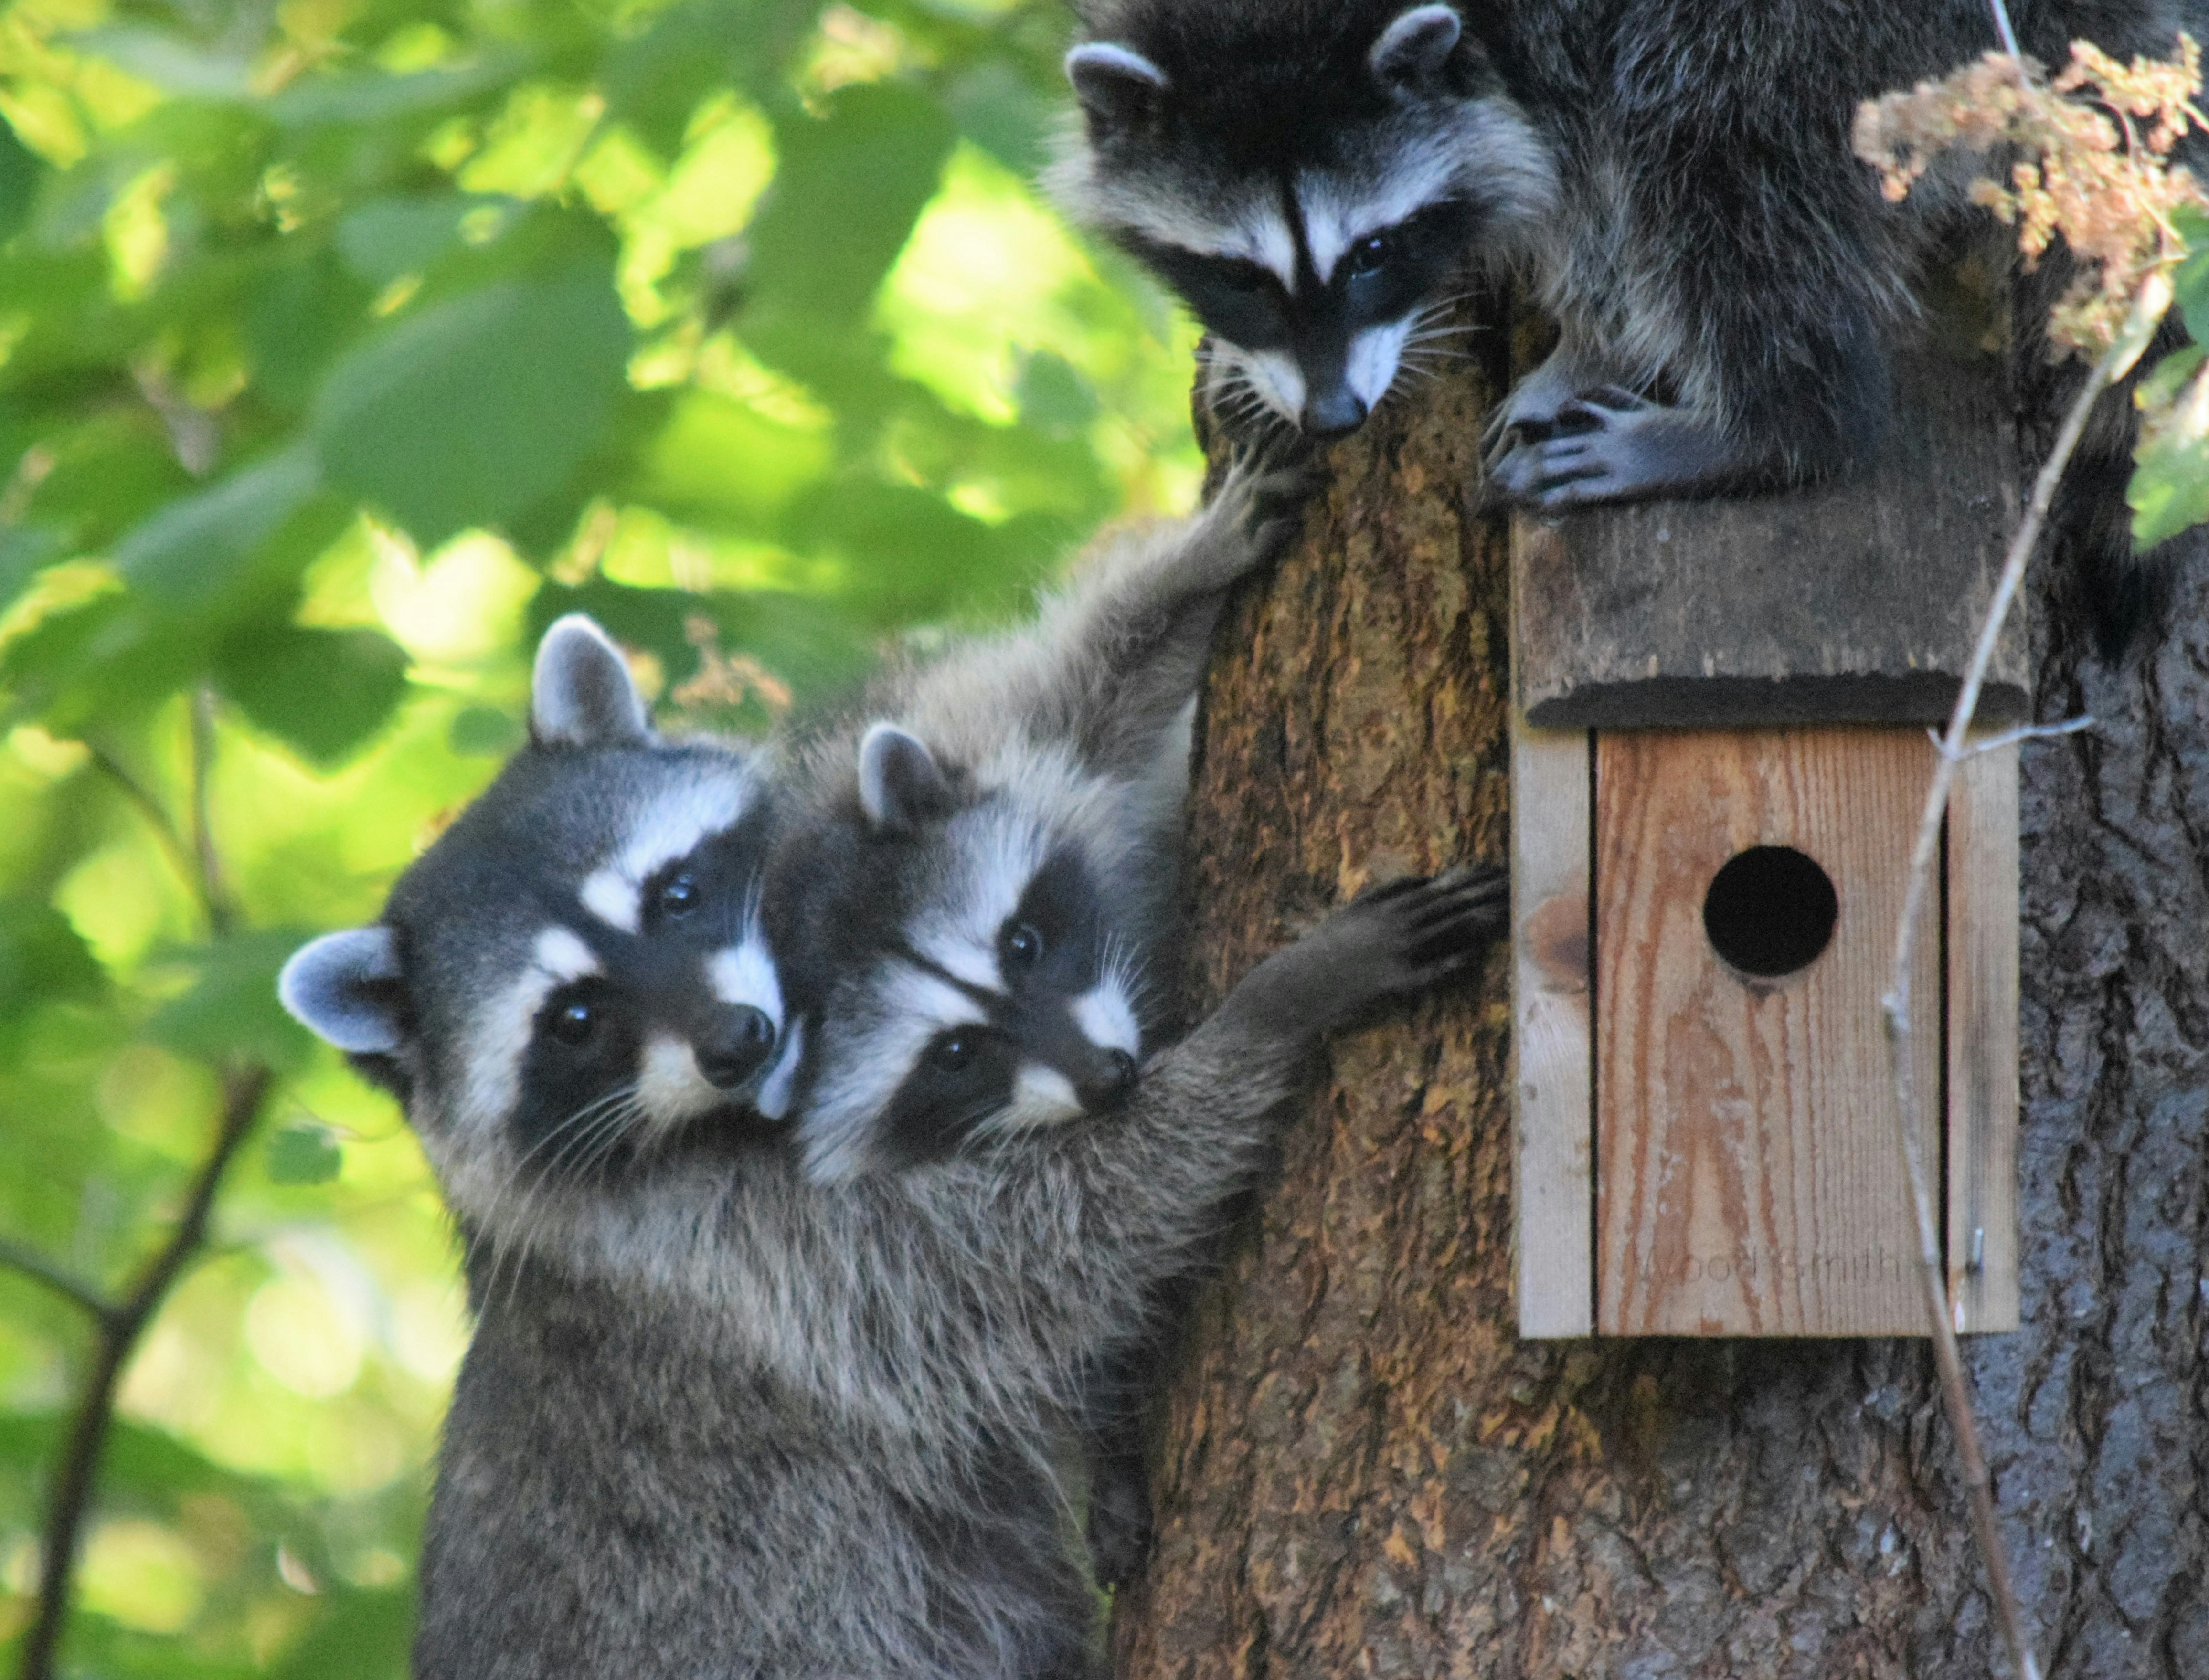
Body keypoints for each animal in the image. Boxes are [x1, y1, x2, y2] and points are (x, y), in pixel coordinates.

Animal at [1048, 0, 2199, 632]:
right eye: (1240, 277)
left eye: (1372, 252)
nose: (1334, 416)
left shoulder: (1544, 37)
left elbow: (1593, 181)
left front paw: (1591, 335)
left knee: (1714, 137)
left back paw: (1774, 421)